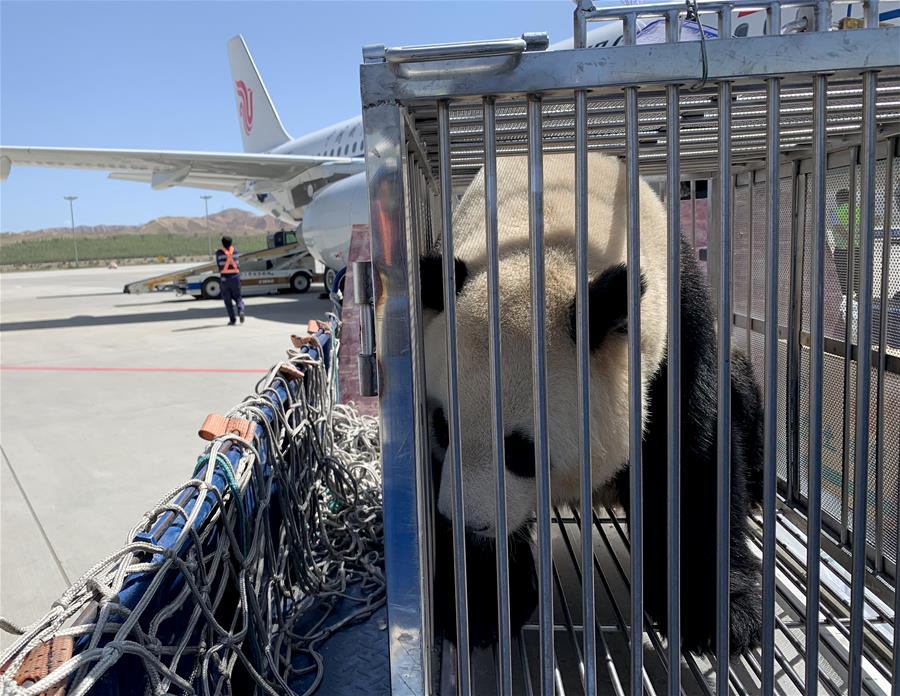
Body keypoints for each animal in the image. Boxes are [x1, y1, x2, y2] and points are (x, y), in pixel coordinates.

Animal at [418, 152, 764, 656]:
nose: (469, 521)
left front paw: (719, 613)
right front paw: (479, 602)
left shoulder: (675, 318)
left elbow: (692, 450)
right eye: (443, 428)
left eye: (521, 450)